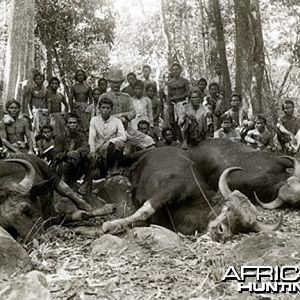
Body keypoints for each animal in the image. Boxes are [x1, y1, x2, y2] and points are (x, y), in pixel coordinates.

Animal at [102, 146, 282, 241]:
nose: (221, 232)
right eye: (227, 208)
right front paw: (109, 225)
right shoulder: (171, 187)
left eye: (242, 225)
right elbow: (145, 210)